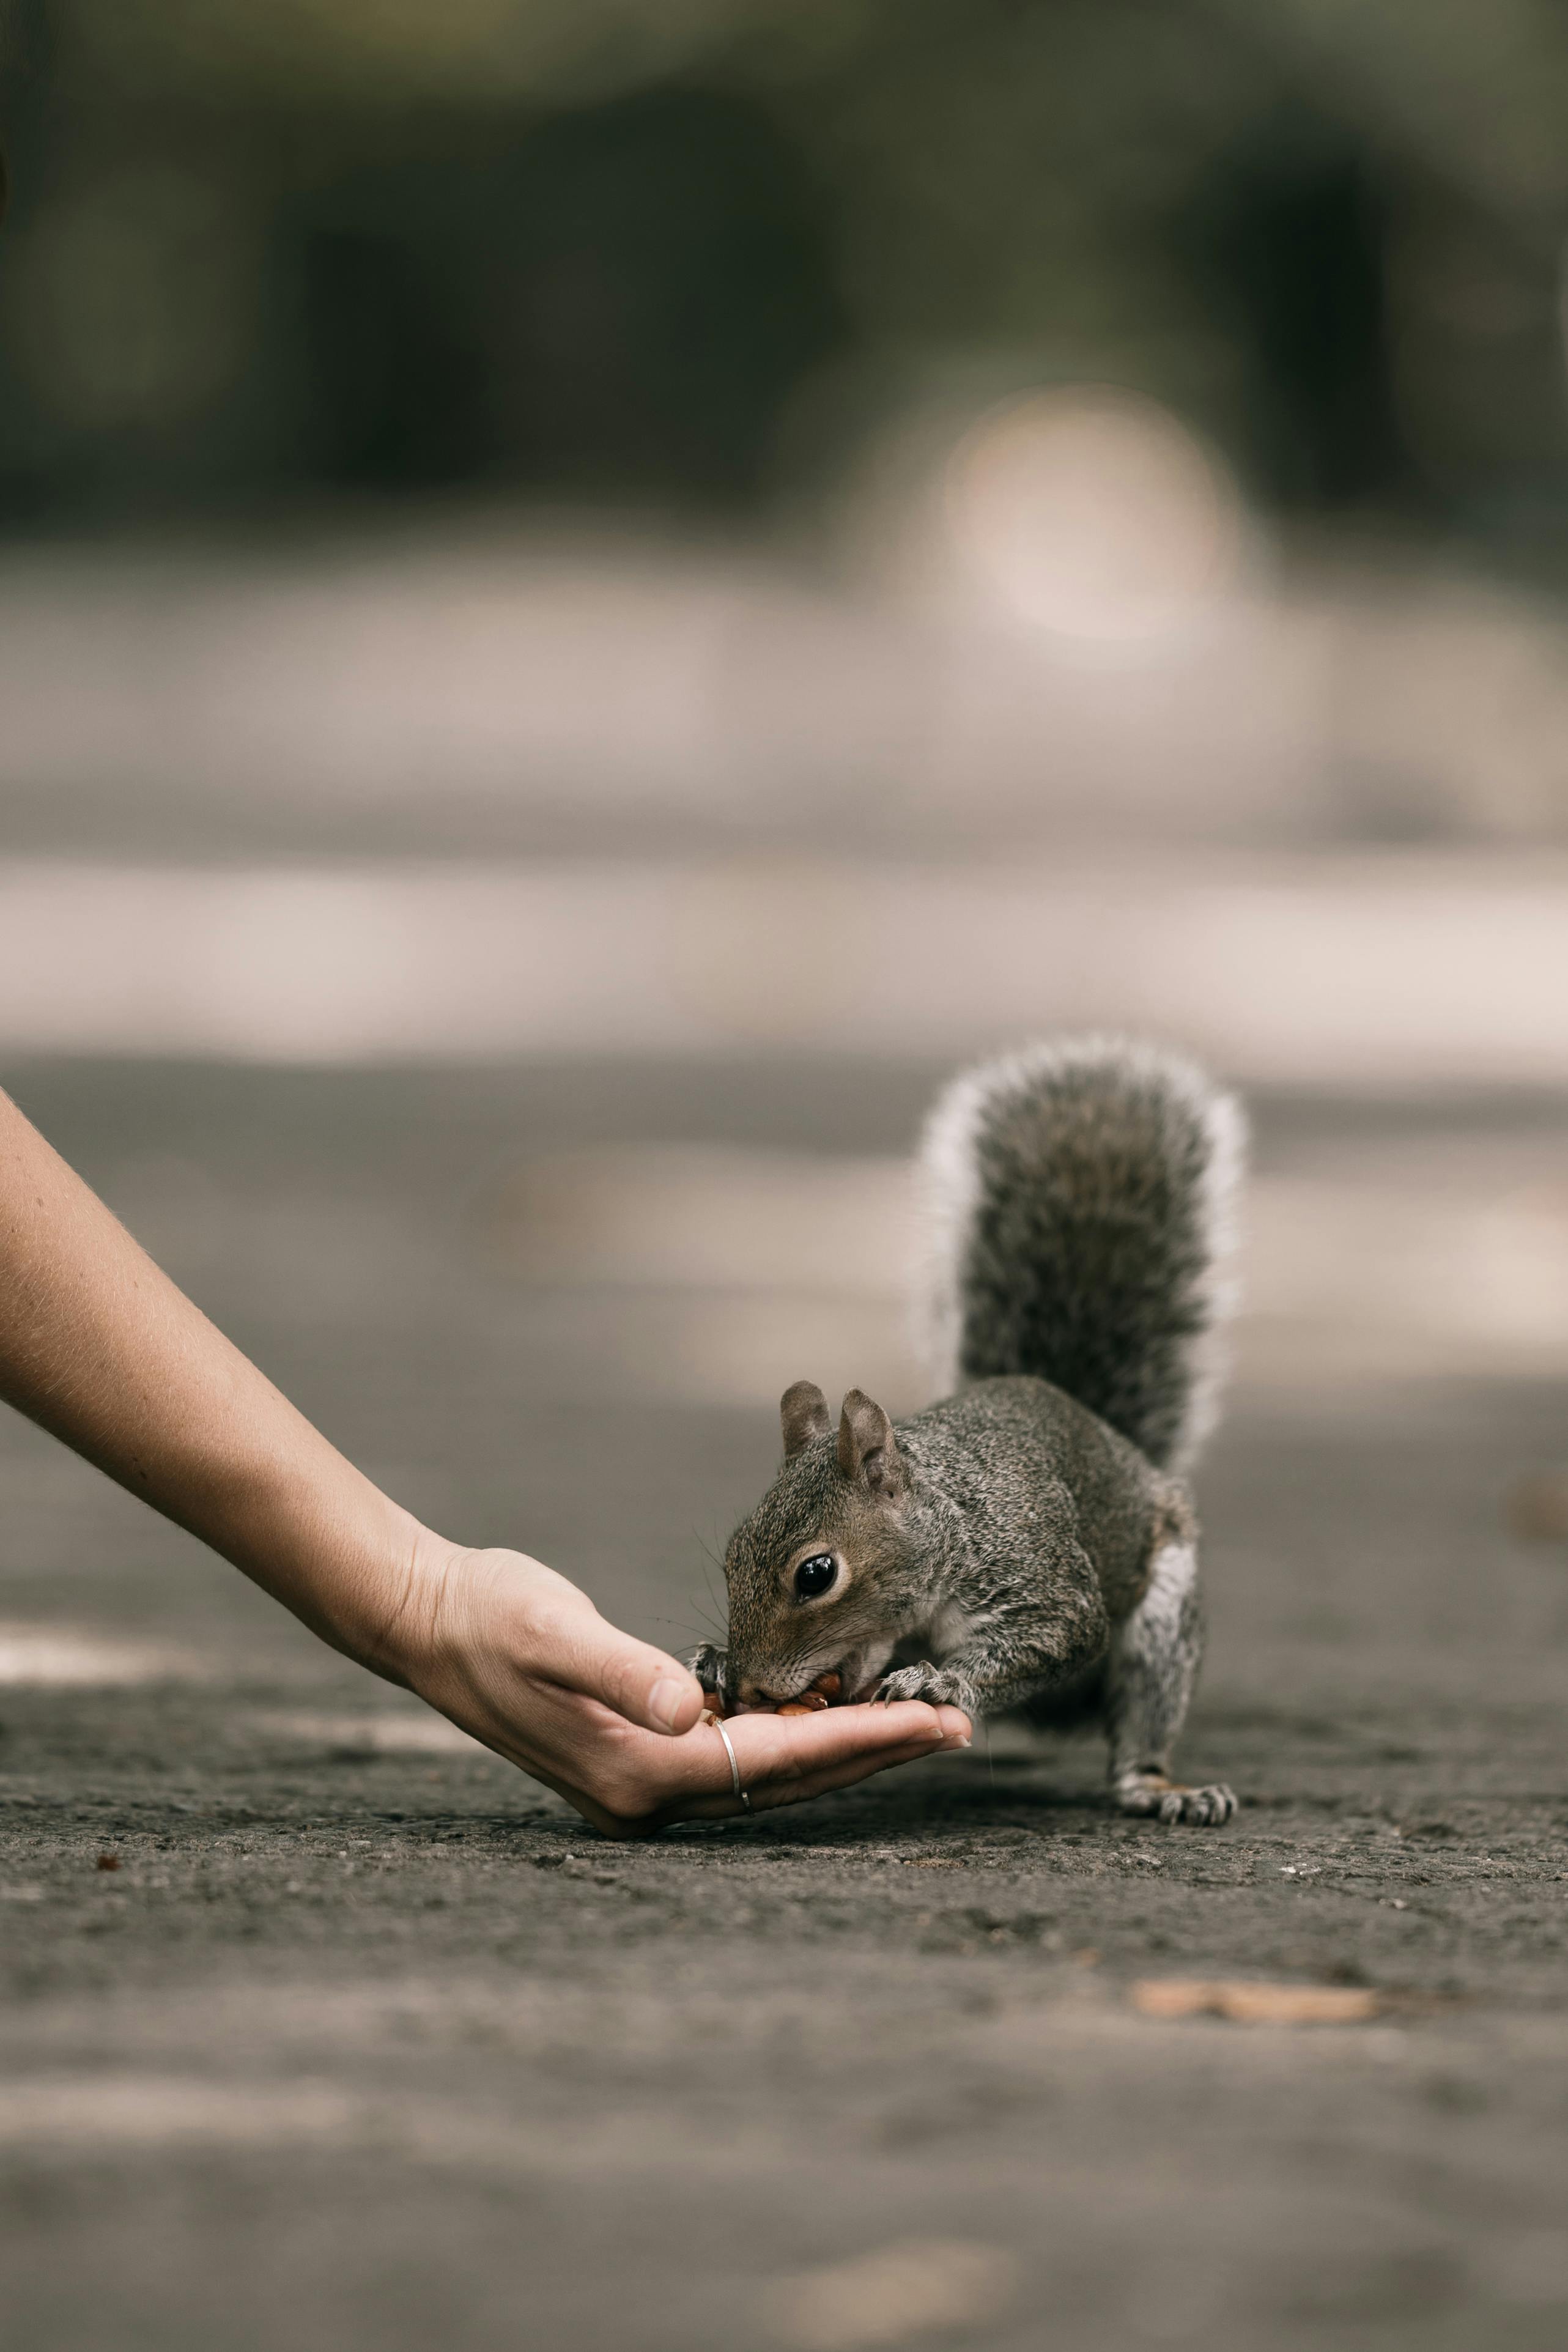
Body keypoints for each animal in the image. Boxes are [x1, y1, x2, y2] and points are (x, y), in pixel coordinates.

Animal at [691, 1039, 1241, 1825]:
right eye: (731, 1555)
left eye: (815, 1574)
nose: (747, 1690)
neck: (950, 1523)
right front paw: (708, 1660)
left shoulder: (1039, 1581)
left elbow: (1059, 1633)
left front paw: (939, 1683)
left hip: (1162, 1621)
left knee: (1143, 1718)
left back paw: (1165, 1789)